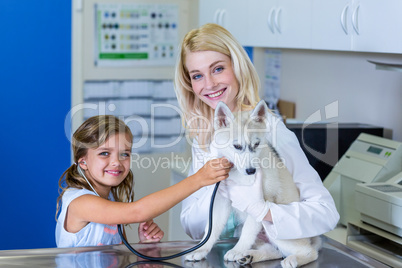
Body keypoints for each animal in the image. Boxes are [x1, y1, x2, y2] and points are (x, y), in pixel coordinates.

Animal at [185, 100, 320, 268]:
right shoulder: (221, 201)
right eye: (237, 146)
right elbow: (212, 228)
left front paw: (237, 250)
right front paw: (201, 249)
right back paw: (249, 256)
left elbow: (248, 231)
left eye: (256, 144)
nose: (251, 171)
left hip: (279, 231)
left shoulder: (259, 203)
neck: (238, 175)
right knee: (274, 251)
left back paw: (292, 259)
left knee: (309, 252)